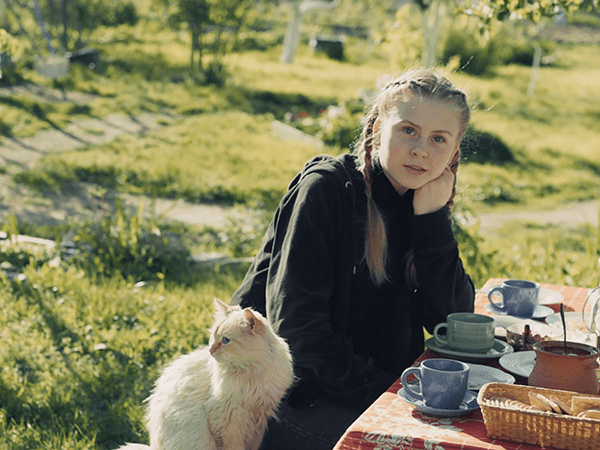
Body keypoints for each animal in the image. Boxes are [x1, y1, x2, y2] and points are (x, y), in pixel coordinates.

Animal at [116, 298, 292, 450]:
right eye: (213, 337)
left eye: (226, 340)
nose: (210, 350)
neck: (251, 373)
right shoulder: (227, 421)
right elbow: (232, 447)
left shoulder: (259, 419)